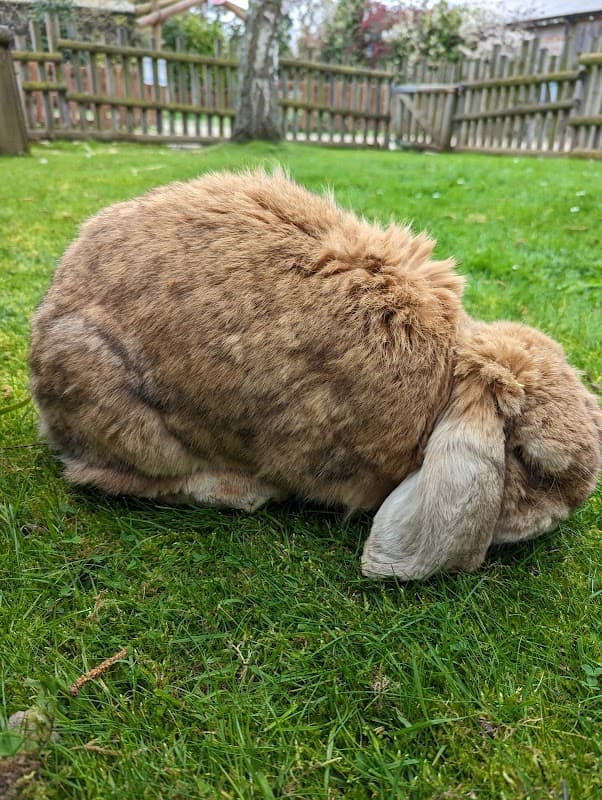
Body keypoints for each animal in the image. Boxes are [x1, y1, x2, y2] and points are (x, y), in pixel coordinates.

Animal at [29, 169, 602, 580]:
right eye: (535, 463)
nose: (567, 512)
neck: (447, 383)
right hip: (121, 408)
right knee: (104, 475)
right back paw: (237, 491)